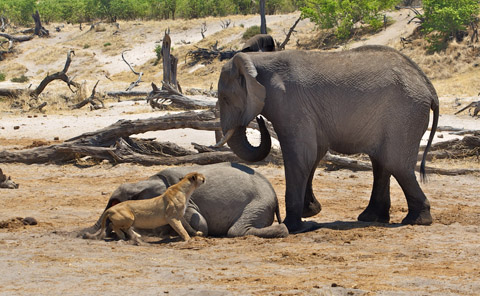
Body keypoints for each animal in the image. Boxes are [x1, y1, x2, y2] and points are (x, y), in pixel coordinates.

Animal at [216, 45, 440, 234]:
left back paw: (416, 220)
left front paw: (293, 226)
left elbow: (300, 156)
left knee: (395, 163)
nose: (258, 119)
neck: (257, 59)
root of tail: (428, 87)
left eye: (225, 99)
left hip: (405, 113)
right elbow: (315, 154)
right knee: (382, 162)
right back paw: (372, 218)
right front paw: (311, 212)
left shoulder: (290, 104)